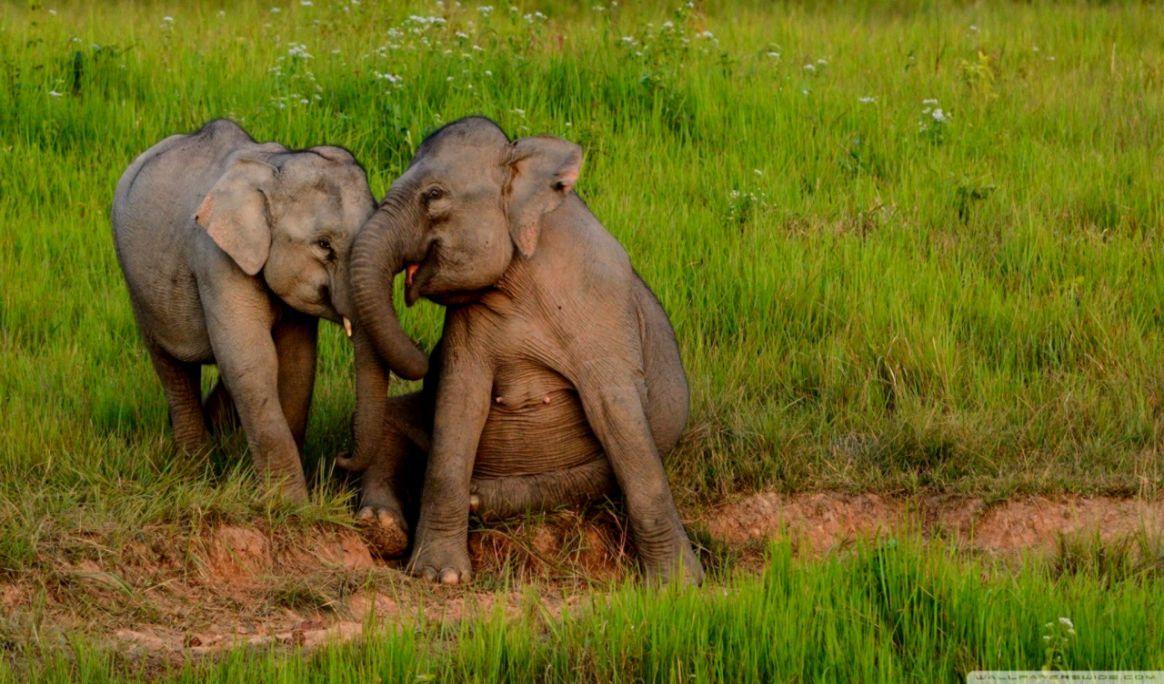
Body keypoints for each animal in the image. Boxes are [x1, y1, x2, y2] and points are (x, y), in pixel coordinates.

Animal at [112, 119, 427, 501]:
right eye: (324, 245)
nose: (341, 457)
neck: (274, 170)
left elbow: (295, 363)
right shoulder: (215, 258)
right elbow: (253, 361)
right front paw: (291, 504)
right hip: (137, 286)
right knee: (173, 367)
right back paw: (196, 467)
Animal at [342, 116, 703, 585]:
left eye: (434, 195)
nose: (424, 357)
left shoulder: (603, 305)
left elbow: (619, 417)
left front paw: (679, 584)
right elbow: (458, 407)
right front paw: (440, 576)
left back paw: (479, 499)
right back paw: (381, 524)